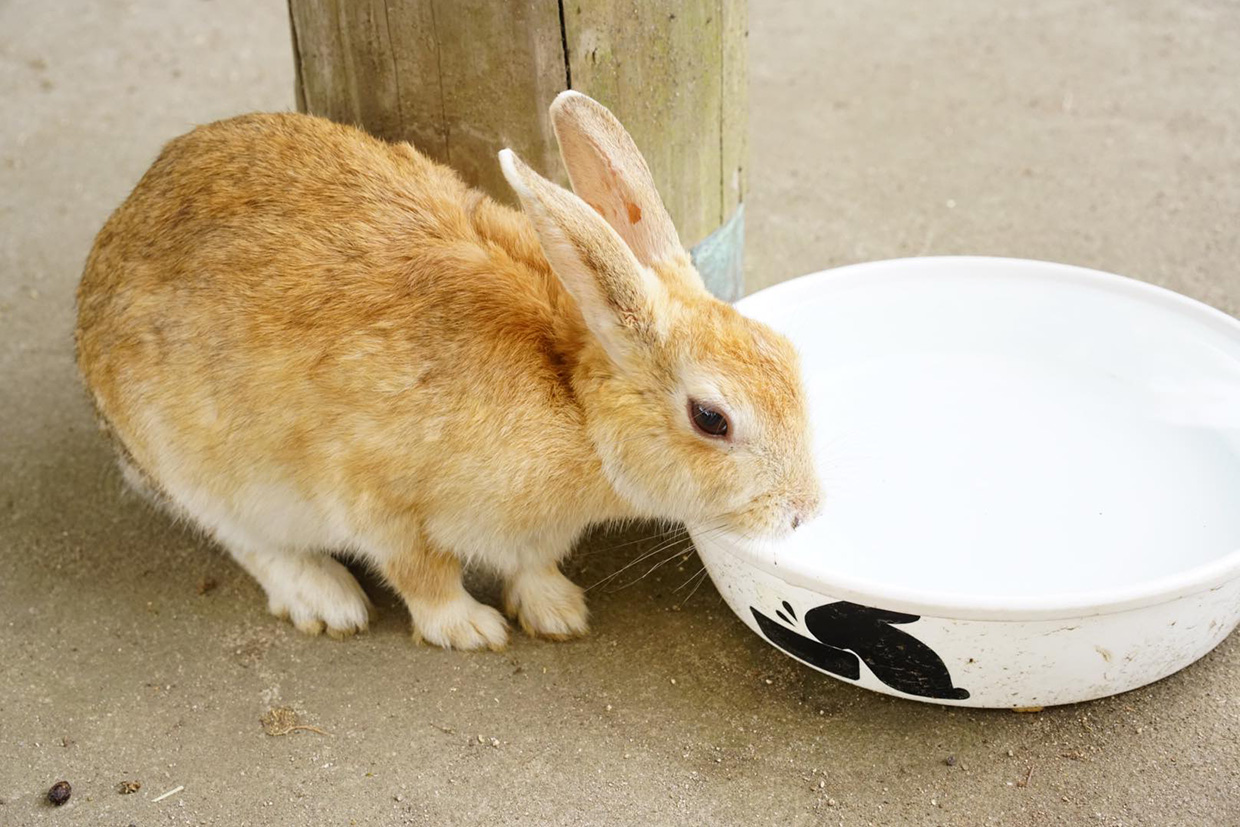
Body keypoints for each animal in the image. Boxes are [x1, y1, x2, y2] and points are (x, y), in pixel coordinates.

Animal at [72, 93, 818, 649]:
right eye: (711, 419)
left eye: (786, 353)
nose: (805, 510)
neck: (574, 404)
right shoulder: (375, 499)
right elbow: (422, 573)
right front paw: (471, 629)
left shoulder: (526, 533)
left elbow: (530, 563)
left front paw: (557, 611)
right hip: (207, 473)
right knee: (249, 542)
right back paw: (327, 601)